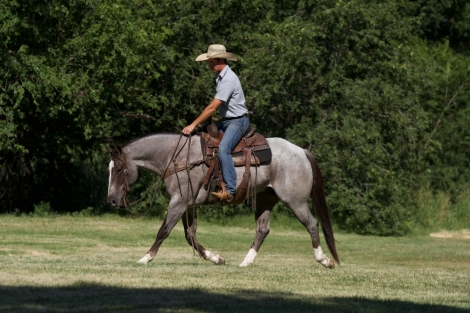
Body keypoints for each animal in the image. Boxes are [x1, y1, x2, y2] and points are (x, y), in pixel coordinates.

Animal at [106, 133, 340, 266]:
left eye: (117, 169)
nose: (112, 200)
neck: (177, 158)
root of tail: (301, 151)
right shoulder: (189, 205)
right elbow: (190, 235)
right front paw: (216, 258)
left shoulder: (178, 202)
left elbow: (163, 231)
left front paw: (146, 258)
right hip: (265, 200)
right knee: (262, 230)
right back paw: (245, 262)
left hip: (296, 202)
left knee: (312, 224)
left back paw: (324, 260)